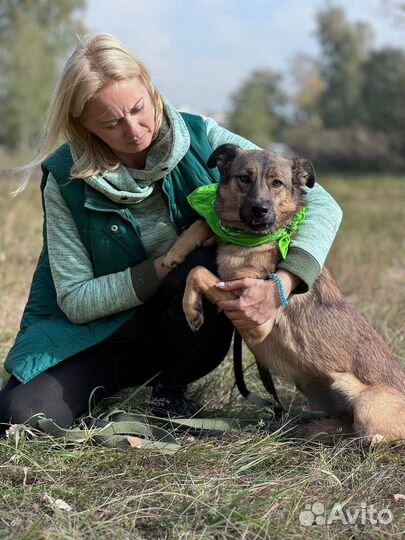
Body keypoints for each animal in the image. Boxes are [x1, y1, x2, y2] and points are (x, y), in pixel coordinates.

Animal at [161, 143, 404, 442]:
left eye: (277, 183)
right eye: (244, 178)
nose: (260, 210)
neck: (255, 240)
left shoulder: (255, 321)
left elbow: (198, 271)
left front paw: (192, 309)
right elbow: (205, 226)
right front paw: (176, 251)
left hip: (366, 404)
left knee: (371, 436)